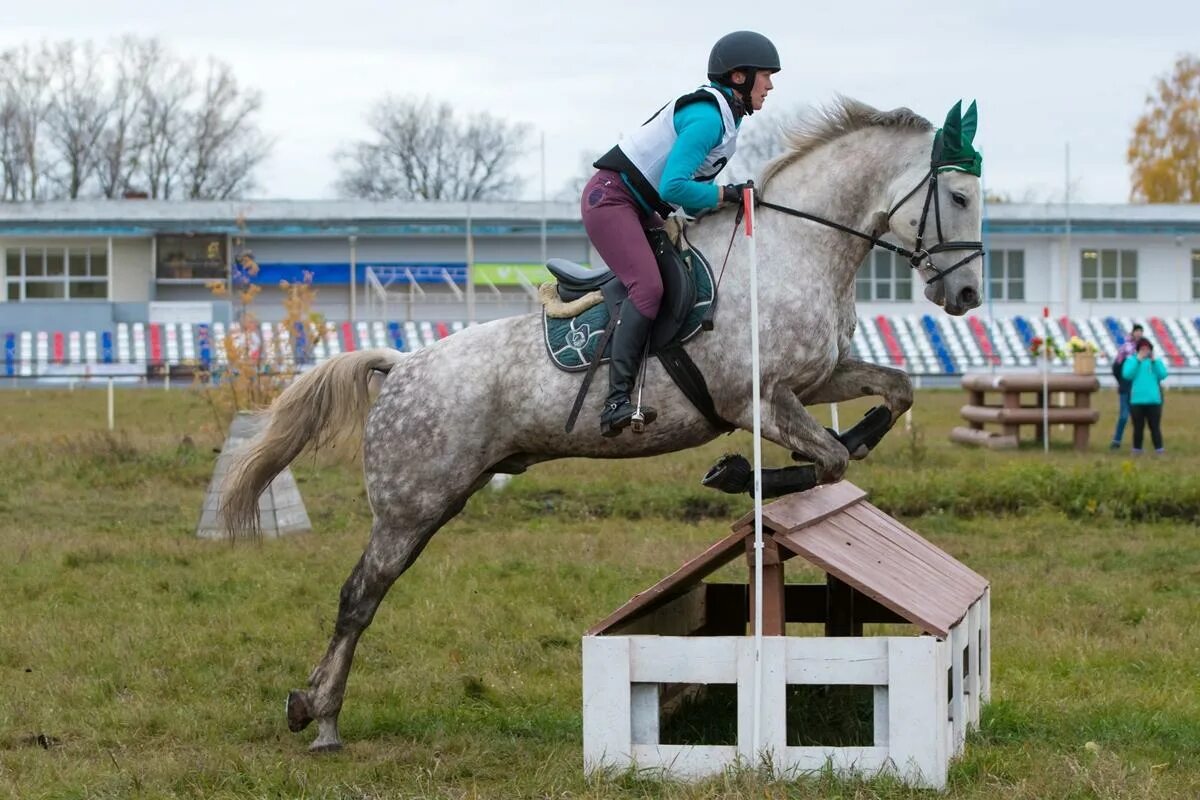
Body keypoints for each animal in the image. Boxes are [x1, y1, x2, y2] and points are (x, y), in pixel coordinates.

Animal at [223, 97, 984, 753]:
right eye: (959, 197)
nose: (968, 293)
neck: (792, 248)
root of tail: (402, 362)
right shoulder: (759, 401)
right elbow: (827, 459)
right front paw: (736, 471)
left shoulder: (815, 381)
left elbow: (891, 397)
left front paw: (824, 448)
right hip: (410, 507)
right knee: (359, 597)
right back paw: (319, 716)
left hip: (437, 500)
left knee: (366, 593)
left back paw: (316, 708)